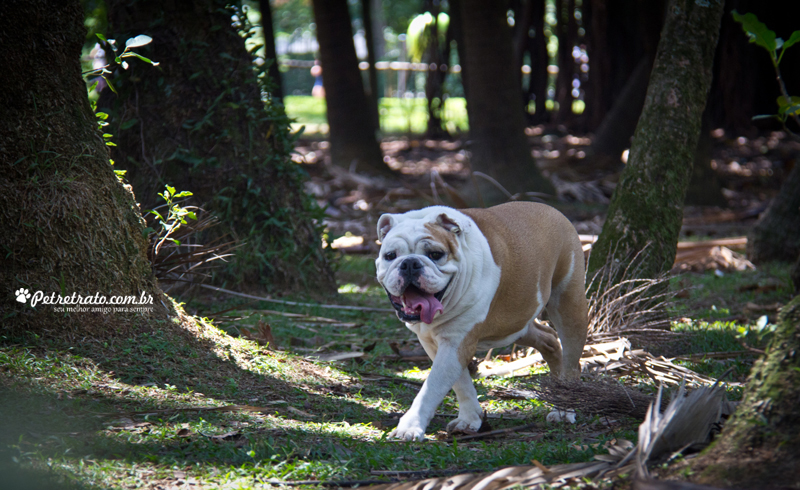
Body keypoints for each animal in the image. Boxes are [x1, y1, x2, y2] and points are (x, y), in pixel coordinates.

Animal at [376, 201, 588, 442]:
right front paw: (470, 419)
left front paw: (410, 427)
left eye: (436, 254)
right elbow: (461, 383)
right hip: (516, 324)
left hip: (569, 306)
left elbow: (432, 387)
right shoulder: (437, 343)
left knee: (572, 360)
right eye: (390, 255)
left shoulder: (455, 343)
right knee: (549, 339)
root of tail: (553, 210)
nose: (410, 263)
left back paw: (565, 409)